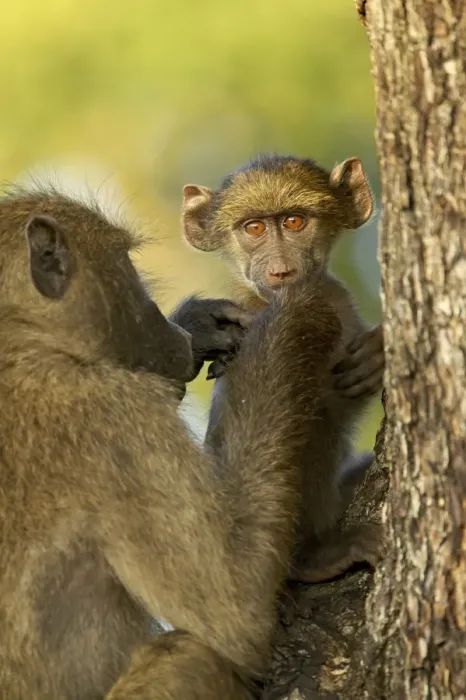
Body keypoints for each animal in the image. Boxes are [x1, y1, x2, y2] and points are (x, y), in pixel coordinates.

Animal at [0, 184, 341, 699]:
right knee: (191, 654)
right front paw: (299, 314)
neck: (21, 345)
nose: (171, 331)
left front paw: (201, 324)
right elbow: (233, 608)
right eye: (126, 263)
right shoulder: (114, 416)